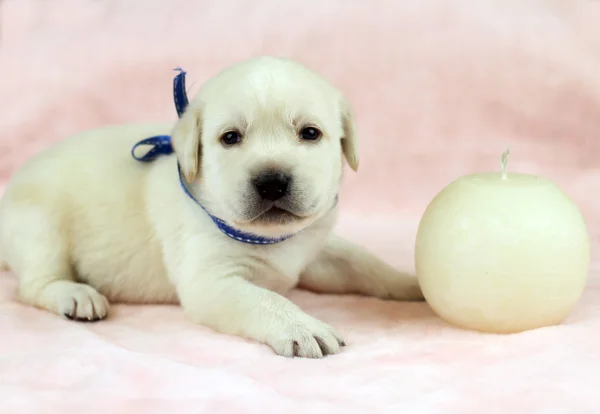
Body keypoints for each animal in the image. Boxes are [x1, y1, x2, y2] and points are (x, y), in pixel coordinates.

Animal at [0, 56, 422, 358]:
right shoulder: (212, 281)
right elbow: (265, 300)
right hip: (40, 227)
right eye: (230, 138)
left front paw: (409, 282)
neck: (269, 237)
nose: (272, 181)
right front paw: (301, 327)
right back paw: (75, 295)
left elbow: (363, 264)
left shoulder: (316, 250)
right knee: (35, 284)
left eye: (310, 133)